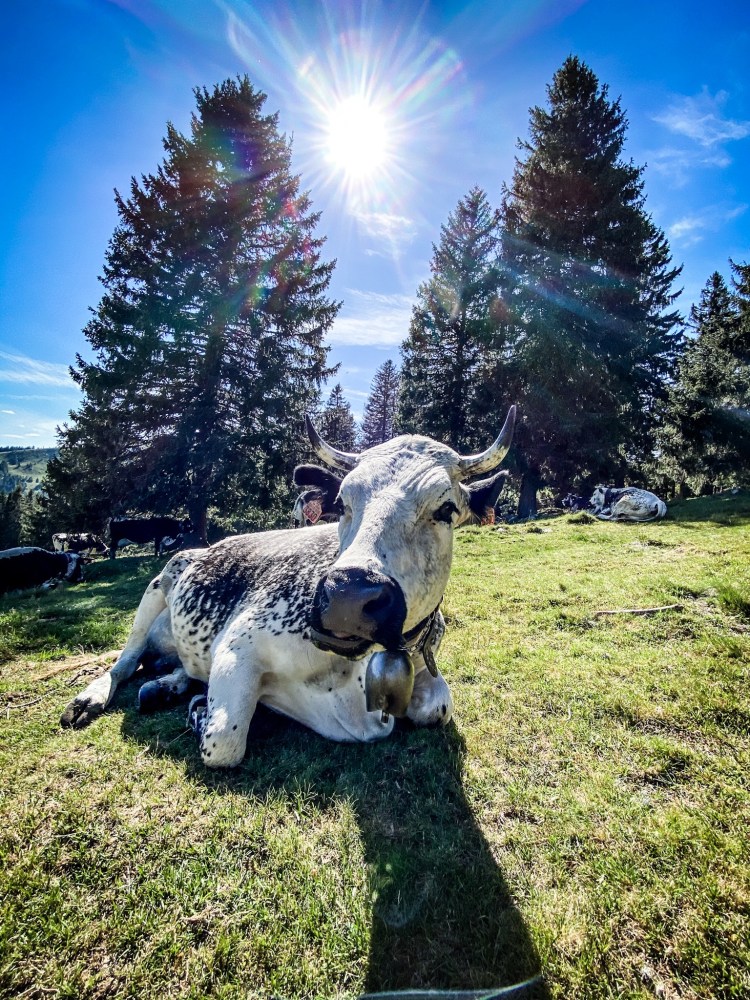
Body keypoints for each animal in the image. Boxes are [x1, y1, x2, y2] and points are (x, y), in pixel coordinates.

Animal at [60, 406, 516, 768]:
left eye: (446, 509)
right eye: (343, 502)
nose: (348, 596)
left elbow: (438, 705)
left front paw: (192, 699)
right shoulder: (237, 646)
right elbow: (223, 740)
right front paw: (201, 712)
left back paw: (166, 686)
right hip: (158, 585)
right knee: (125, 662)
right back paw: (92, 698)